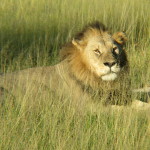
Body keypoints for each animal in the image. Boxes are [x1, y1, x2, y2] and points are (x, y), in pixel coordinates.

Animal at [0, 21, 149, 108]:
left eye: (114, 49)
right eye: (97, 51)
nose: (111, 63)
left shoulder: (119, 96)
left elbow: (139, 104)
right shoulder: (92, 107)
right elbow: (125, 111)